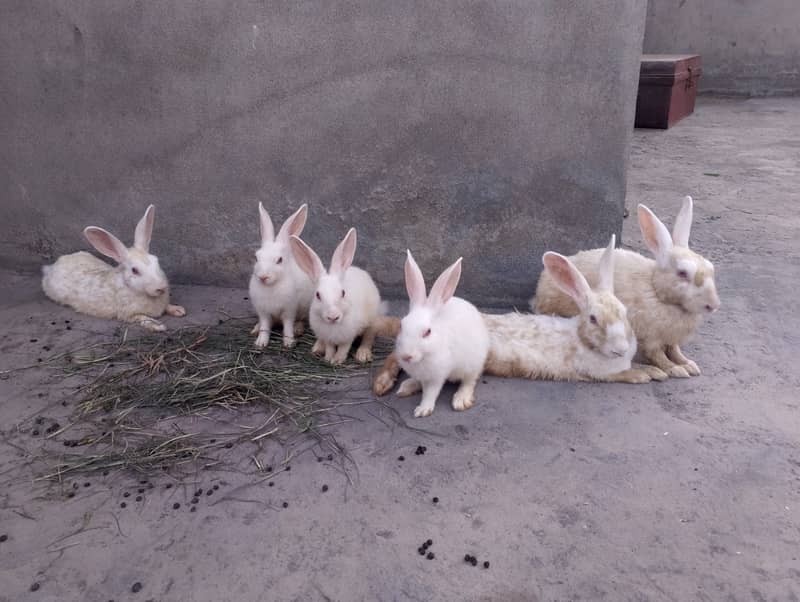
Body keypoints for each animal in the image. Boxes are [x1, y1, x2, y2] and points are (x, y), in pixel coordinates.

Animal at [41, 205, 184, 328]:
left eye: (156, 261)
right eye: (135, 270)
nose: (161, 287)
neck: (130, 287)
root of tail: (52, 267)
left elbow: (167, 306)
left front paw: (179, 310)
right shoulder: (128, 314)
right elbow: (142, 318)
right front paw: (158, 326)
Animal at [248, 202, 314, 346]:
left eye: (279, 260)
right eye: (256, 257)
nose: (263, 276)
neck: (271, 286)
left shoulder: (289, 310)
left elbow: (288, 325)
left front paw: (289, 342)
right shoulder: (263, 312)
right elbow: (265, 327)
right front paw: (260, 342)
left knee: (300, 320)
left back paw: (298, 330)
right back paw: (255, 329)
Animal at [290, 227, 382, 364]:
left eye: (343, 293)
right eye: (318, 295)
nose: (333, 317)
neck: (333, 326)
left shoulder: (348, 336)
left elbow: (344, 348)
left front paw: (337, 360)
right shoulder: (327, 337)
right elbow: (330, 347)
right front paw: (328, 358)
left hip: (372, 321)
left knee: (368, 338)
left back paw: (362, 355)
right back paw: (317, 349)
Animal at [392, 251, 488, 414]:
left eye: (427, 332)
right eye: (401, 325)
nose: (406, 356)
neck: (424, 356)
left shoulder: (436, 376)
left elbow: (430, 393)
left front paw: (423, 410)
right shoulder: (422, 375)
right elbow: (421, 384)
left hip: (473, 363)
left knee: (469, 381)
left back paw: (461, 400)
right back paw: (406, 387)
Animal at [536, 196, 720, 376]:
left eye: (710, 267)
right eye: (682, 273)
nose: (713, 305)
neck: (656, 291)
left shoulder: (670, 339)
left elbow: (675, 351)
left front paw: (689, 364)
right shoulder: (650, 339)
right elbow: (658, 356)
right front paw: (675, 369)